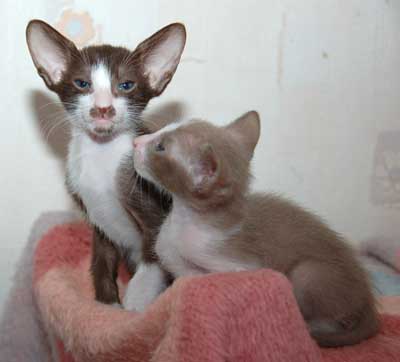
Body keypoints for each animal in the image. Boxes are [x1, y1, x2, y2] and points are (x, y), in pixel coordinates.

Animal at [26, 19, 186, 308]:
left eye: (126, 85)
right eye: (82, 83)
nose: (103, 109)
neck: (100, 154)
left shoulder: (156, 220)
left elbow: (149, 271)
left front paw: (134, 311)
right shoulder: (97, 222)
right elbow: (101, 263)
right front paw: (107, 307)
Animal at [133, 111, 380, 346]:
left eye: (160, 147)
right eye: (163, 129)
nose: (136, 141)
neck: (183, 222)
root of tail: (368, 299)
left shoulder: (245, 266)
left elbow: (206, 278)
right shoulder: (171, 256)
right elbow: (182, 272)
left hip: (308, 273)